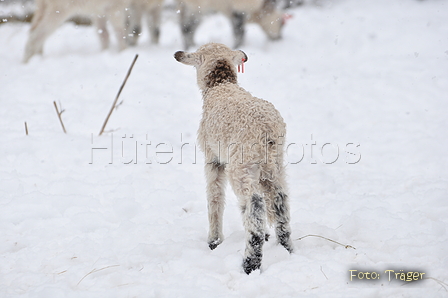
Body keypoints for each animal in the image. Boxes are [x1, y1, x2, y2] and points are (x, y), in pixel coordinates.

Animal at [174, 42, 294, 274]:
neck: (221, 85)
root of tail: (267, 130)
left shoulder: (212, 158)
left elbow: (214, 196)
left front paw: (214, 241)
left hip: (242, 164)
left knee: (254, 205)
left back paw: (250, 262)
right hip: (274, 164)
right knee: (279, 200)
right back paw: (286, 247)